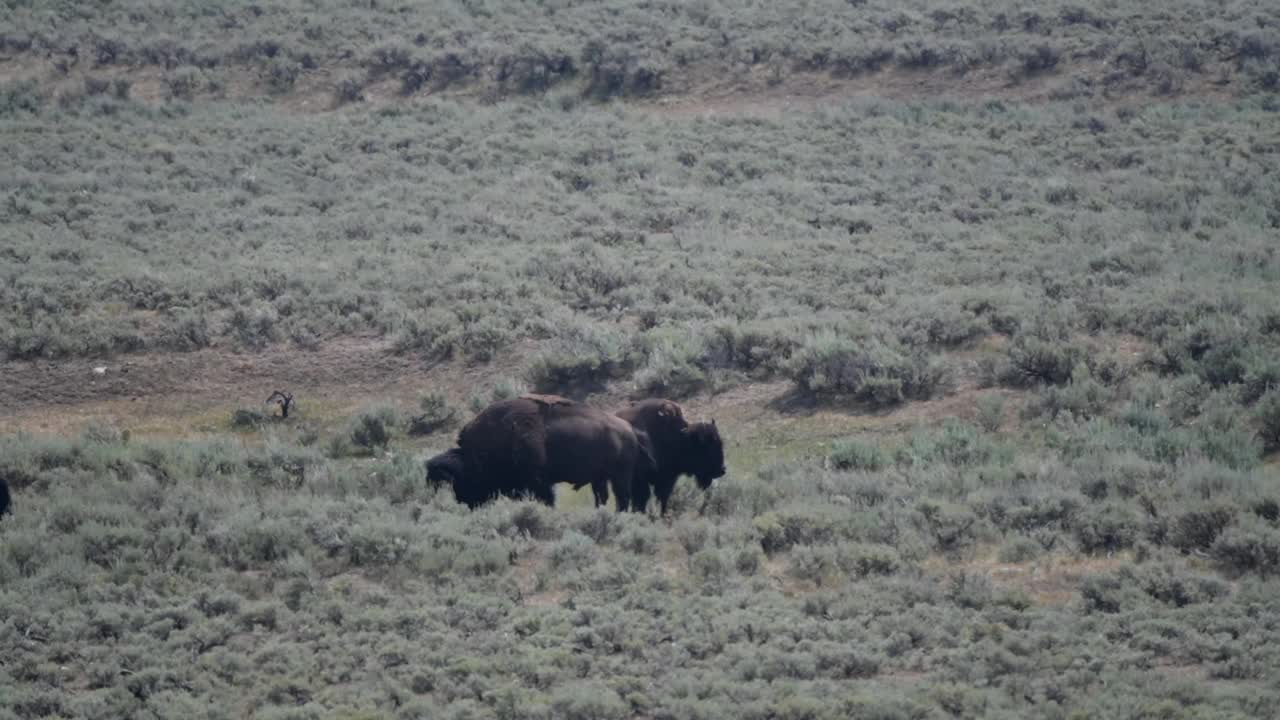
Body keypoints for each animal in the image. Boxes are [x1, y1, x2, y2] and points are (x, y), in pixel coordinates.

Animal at [430, 392, 655, 509]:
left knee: (622, 497)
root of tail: (629, 430)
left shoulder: (538, 482)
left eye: (463, 479)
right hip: (600, 478)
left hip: (620, 475)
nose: (465, 503)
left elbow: (547, 499)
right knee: (603, 497)